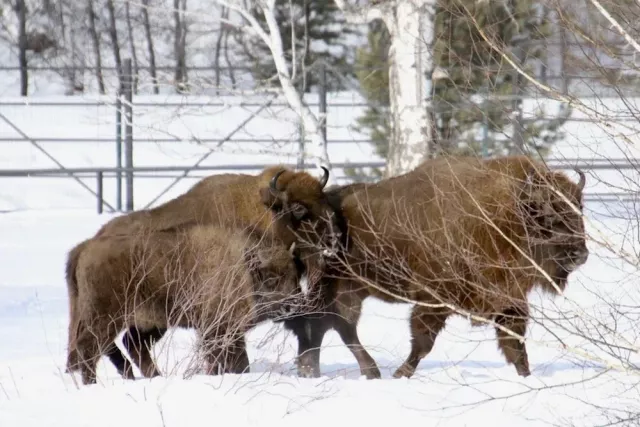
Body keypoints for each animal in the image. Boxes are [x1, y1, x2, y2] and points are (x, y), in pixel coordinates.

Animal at [71, 226, 306, 386]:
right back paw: (91, 384)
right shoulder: (216, 330)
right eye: (272, 278)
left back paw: (156, 376)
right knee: (89, 347)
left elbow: (237, 362)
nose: (294, 304)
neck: (244, 270)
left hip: (151, 323)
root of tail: (86, 249)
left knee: (132, 344)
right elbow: (227, 360)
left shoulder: (230, 332)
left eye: (296, 276)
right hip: (107, 317)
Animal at [290, 155, 592, 380]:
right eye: (548, 213)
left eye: (579, 209)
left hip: (349, 291)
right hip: (337, 289)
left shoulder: (509, 300)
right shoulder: (435, 300)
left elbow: (515, 345)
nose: (581, 254)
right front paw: (401, 374)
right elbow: (423, 340)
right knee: (329, 325)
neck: (504, 217)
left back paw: (341, 371)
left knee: (335, 326)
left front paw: (526, 378)